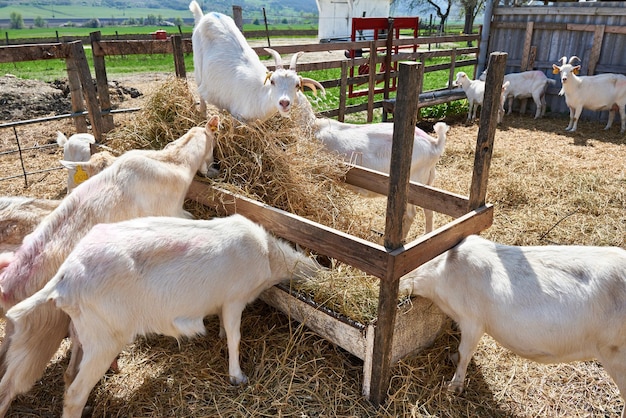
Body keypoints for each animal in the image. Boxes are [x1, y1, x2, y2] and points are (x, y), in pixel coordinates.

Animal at [0, 115, 222, 418]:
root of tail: (9, 283)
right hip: (39, 335)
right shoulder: (170, 216)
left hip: (15, 333)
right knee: (11, 385)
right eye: (214, 141)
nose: (214, 168)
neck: (171, 163)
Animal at [9, 216, 320, 418]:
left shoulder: (224, 302)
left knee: (70, 375)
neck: (266, 254)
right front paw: (237, 376)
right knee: (74, 393)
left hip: (83, 331)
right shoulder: (235, 299)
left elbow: (225, 328)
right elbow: (235, 337)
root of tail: (64, 278)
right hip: (104, 339)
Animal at [188, 1, 322, 122]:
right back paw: (203, 114)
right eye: (272, 82)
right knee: (201, 93)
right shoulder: (237, 117)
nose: (284, 102)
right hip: (198, 67)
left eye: (297, 85)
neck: (259, 93)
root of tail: (206, 16)